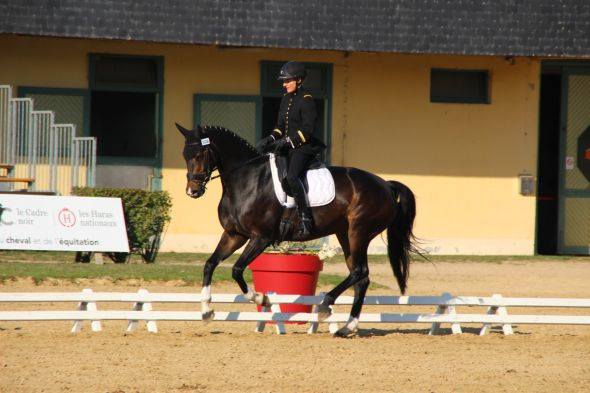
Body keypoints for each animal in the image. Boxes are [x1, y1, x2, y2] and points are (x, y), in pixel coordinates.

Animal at [177, 123, 420, 336]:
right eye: (185, 156)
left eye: (200, 154)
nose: (192, 191)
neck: (247, 180)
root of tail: (385, 185)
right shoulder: (234, 235)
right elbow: (210, 264)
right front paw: (207, 311)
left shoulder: (260, 238)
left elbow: (236, 270)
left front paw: (262, 299)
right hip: (345, 235)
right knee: (361, 278)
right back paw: (346, 327)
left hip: (358, 233)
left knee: (360, 272)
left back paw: (325, 306)